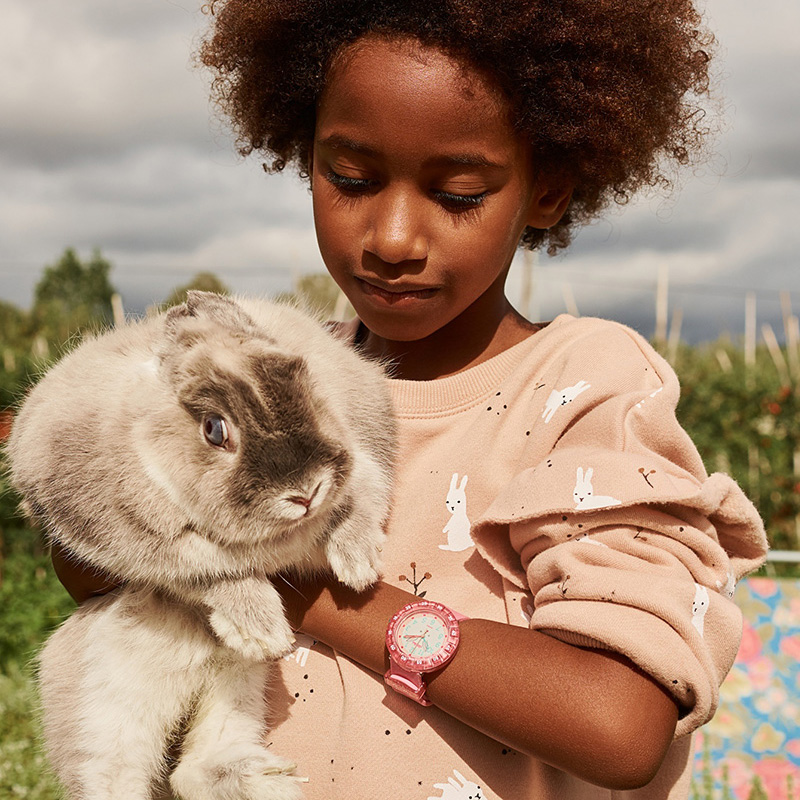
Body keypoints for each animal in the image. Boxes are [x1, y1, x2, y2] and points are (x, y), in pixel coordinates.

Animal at [6, 292, 394, 800]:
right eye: (214, 429)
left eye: (302, 378)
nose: (307, 490)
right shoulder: (126, 536)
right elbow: (205, 568)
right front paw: (262, 626)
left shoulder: (361, 451)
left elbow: (364, 491)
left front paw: (358, 564)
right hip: (101, 708)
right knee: (116, 775)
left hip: (240, 685)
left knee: (191, 769)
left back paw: (266, 782)